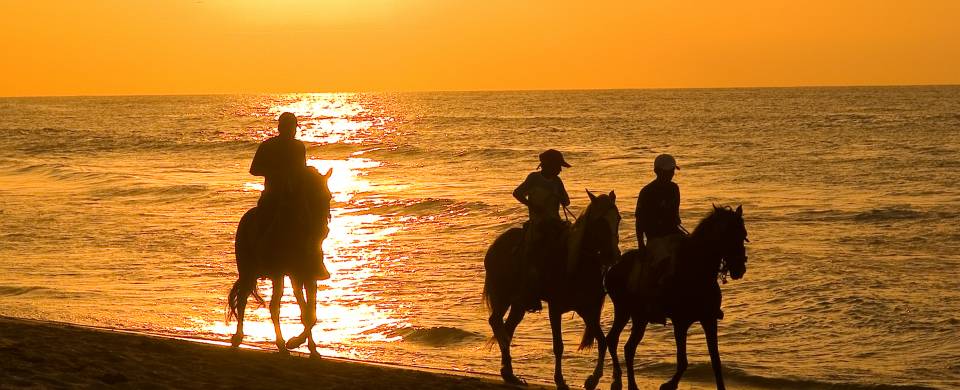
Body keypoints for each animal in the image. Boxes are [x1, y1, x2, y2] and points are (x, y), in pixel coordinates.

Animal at [226, 167, 334, 356]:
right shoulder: (287, 274)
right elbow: (297, 311)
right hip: (251, 272)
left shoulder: (306, 276)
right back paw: (243, 338)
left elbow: (309, 314)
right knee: (247, 301)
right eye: (310, 195)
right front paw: (292, 342)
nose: (323, 229)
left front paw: (308, 347)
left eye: (328, 197)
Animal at [488, 190, 624, 390]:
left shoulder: (587, 310)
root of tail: (496, 246)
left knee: (508, 328)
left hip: (519, 303)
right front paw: (560, 380)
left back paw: (509, 374)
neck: (577, 264)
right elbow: (558, 345)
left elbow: (602, 341)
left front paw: (593, 379)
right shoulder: (555, 308)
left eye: (618, 219)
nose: (613, 255)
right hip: (502, 295)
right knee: (496, 322)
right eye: (599, 221)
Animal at [604, 206, 748, 388]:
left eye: (742, 235)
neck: (695, 271)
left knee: (628, 347)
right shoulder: (680, 322)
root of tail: (613, 268)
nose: (739, 268)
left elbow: (716, 361)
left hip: (639, 317)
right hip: (624, 310)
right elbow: (682, 361)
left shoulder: (709, 319)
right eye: (728, 235)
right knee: (615, 341)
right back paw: (619, 379)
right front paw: (668, 385)